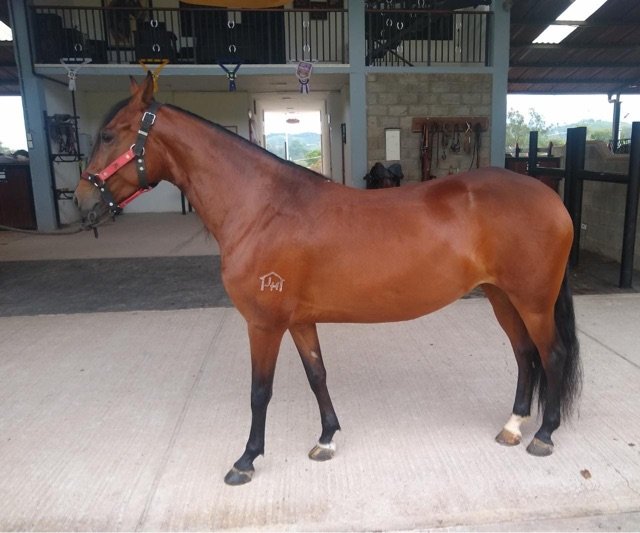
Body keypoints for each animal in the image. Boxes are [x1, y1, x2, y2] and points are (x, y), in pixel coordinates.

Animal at [74, 74, 581, 486]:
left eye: (108, 134)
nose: (81, 201)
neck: (263, 207)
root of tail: (548, 197)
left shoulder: (263, 324)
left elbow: (260, 392)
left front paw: (246, 460)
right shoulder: (299, 321)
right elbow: (317, 374)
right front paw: (326, 439)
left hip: (532, 301)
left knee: (551, 355)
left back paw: (544, 434)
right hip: (502, 297)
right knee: (525, 355)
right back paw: (513, 426)